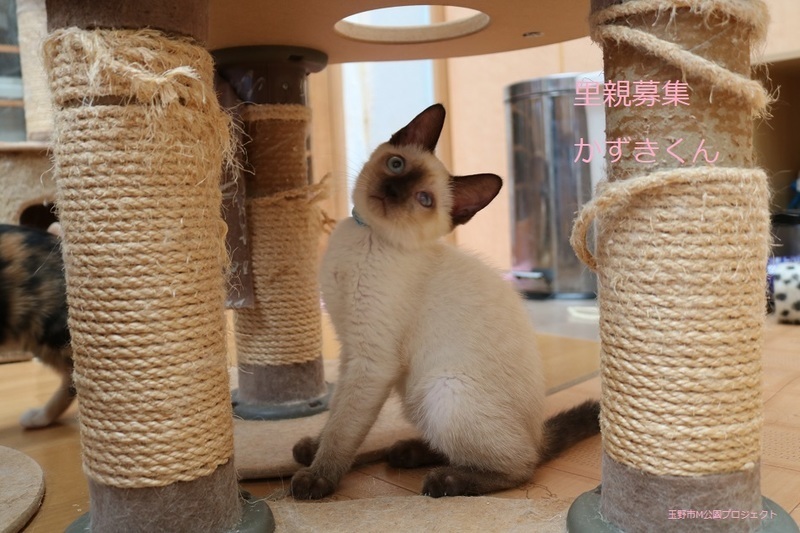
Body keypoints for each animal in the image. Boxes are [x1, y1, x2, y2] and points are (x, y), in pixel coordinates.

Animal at [290, 103, 600, 499]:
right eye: (396, 165)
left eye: (424, 200)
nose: (393, 190)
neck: (369, 237)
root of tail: (538, 433)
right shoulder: (349, 349)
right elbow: (336, 413)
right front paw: (315, 448)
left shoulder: (371, 361)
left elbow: (345, 428)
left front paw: (319, 476)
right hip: (420, 398)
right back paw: (405, 451)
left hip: (443, 391)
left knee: (521, 467)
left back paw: (444, 479)